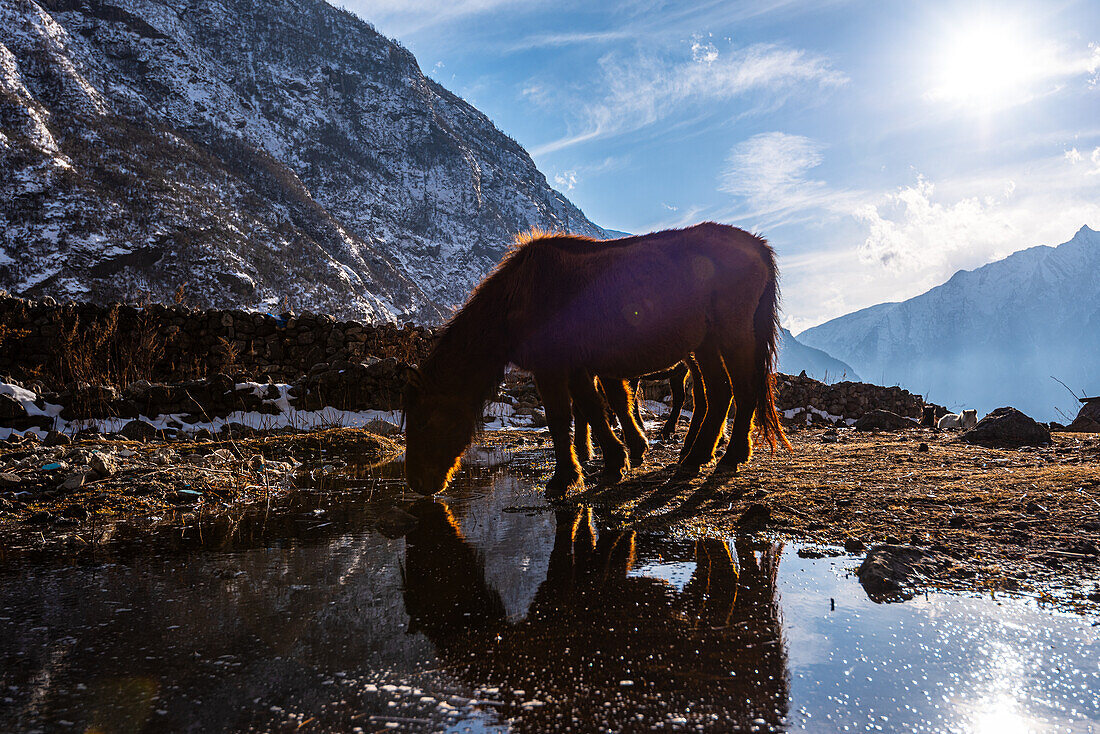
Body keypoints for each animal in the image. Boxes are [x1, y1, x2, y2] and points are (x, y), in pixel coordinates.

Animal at [404, 221, 792, 497]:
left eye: (423, 421)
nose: (417, 484)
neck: (521, 296)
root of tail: (757, 245)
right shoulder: (579, 368)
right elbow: (594, 409)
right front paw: (616, 459)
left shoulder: (552, 368)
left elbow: (562, 418)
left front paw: (566, 477)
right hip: (706, 346)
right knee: (718, 394)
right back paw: (696, 457)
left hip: (731, 336)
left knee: (741, 391)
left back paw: (727, 456)